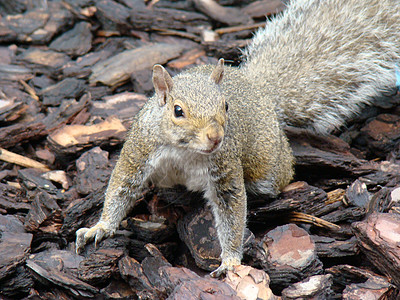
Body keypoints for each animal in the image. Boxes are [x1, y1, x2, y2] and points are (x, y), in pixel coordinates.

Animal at [76, 0, 400, 276]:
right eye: (178, 111)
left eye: (226, 106)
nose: (215, 137)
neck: (185, 151)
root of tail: (257, 87)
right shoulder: (140, 149)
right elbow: (122, 186)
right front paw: (100, 227)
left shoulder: (225, 166)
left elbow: (231, 212)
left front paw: (231, 260)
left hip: (265, 167)